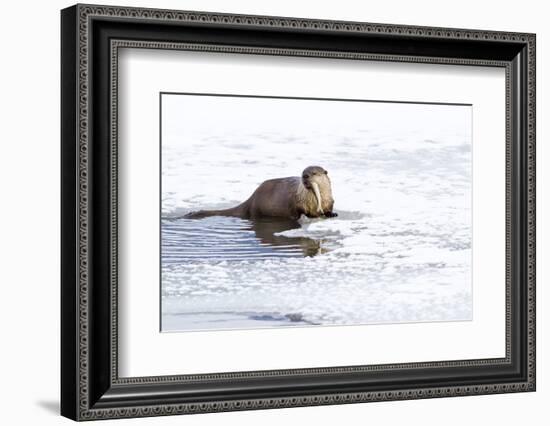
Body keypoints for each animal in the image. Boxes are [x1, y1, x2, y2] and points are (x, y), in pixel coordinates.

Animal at [187, 166, 336, 221]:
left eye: (314, 173)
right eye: (303, 172)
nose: (305, 176)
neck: (314, 201)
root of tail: (251, 198)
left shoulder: (329, 200)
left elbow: (329, 208)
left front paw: (332, 214)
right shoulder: (298, 201)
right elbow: (298, 211)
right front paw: (306, 216)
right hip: (257, 209)